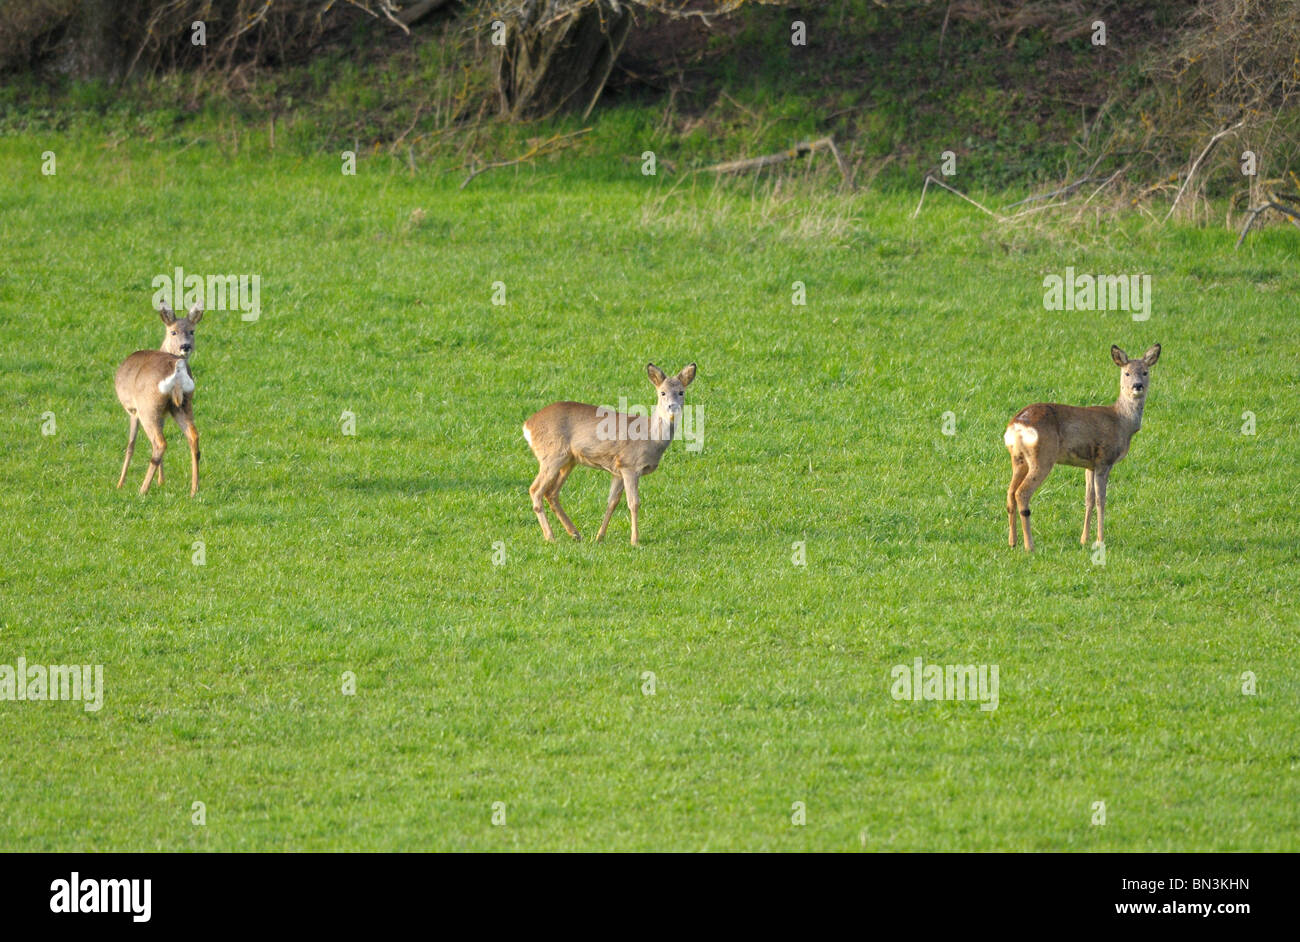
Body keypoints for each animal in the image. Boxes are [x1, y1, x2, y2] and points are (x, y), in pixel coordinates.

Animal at [113, 302, 202, 496]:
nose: (185, 346)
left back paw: (142, 490)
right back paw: (194, 489)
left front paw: (120, 484)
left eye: (192, 331)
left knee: (159, 443)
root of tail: (177, 368)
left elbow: (130, 445)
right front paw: (161, 481)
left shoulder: (133, 410)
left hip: (148, 407)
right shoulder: (164, 414)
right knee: (193, 436)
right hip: (183, 404)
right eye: (173, 331)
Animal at [520, 363, 696, 548]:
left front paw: (599, 537)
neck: (650, 437)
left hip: (569, 460)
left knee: (551, 493)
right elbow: (634, 502)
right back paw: (550, 536)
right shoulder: (629, 464)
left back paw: (575, 534)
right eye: (662, 392)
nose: (672, 407)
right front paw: (635, 540)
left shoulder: (617, 470)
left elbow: (612, 502)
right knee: (535, 490)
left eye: (681, 392)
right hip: (552, 455)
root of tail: (527, 425)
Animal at [998, 343, 1164, 550]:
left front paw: (1084, 539)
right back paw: (1030, 546)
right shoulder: (1104, 460)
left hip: (1018, 459)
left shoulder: (1089, 465)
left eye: (1145, 372)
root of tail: (1015, 425)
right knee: (1022, 493)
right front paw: (1100, 540)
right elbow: (1101, 500)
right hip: (1042, 457)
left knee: (1010, 492)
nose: (1137, 386)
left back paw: (1012, 542)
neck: (1122, 421)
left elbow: (1089, 499)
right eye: (1126, 373)